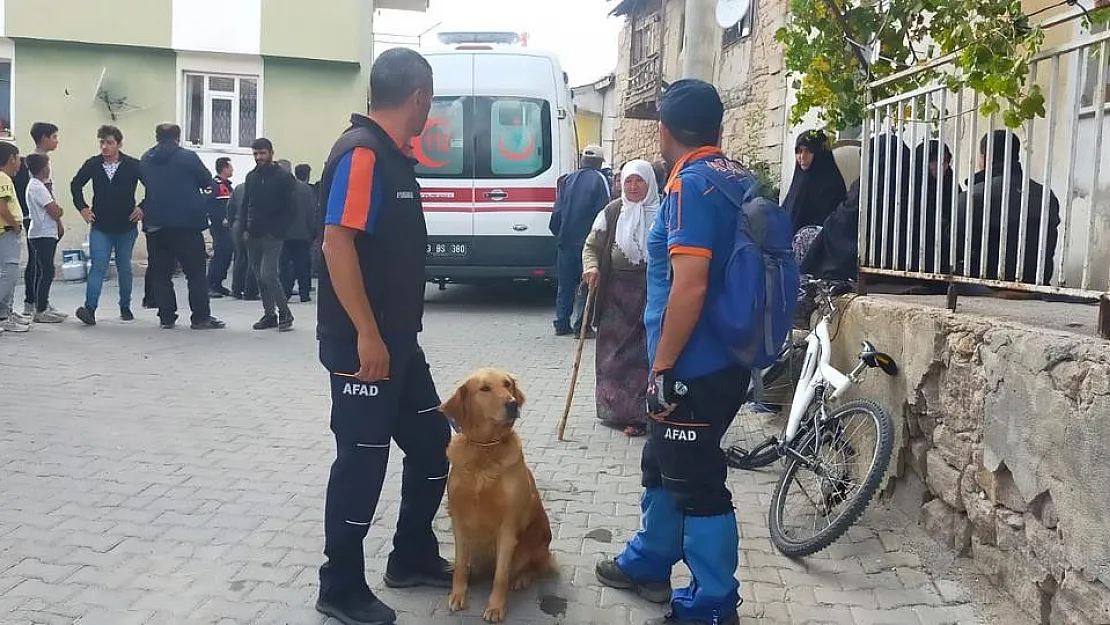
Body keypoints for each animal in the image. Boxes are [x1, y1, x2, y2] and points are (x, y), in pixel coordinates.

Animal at [439, 368, 555, 621]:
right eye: (484, 388)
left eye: (508, 384)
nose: (512, 404)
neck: (485, 449)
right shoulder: (459, 519)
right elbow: (460, 564)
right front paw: (458, 595)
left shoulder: (508, 527)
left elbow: (501, 575)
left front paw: (495, 607)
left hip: (536, 545)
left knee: (536, 569)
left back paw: (521, 578)